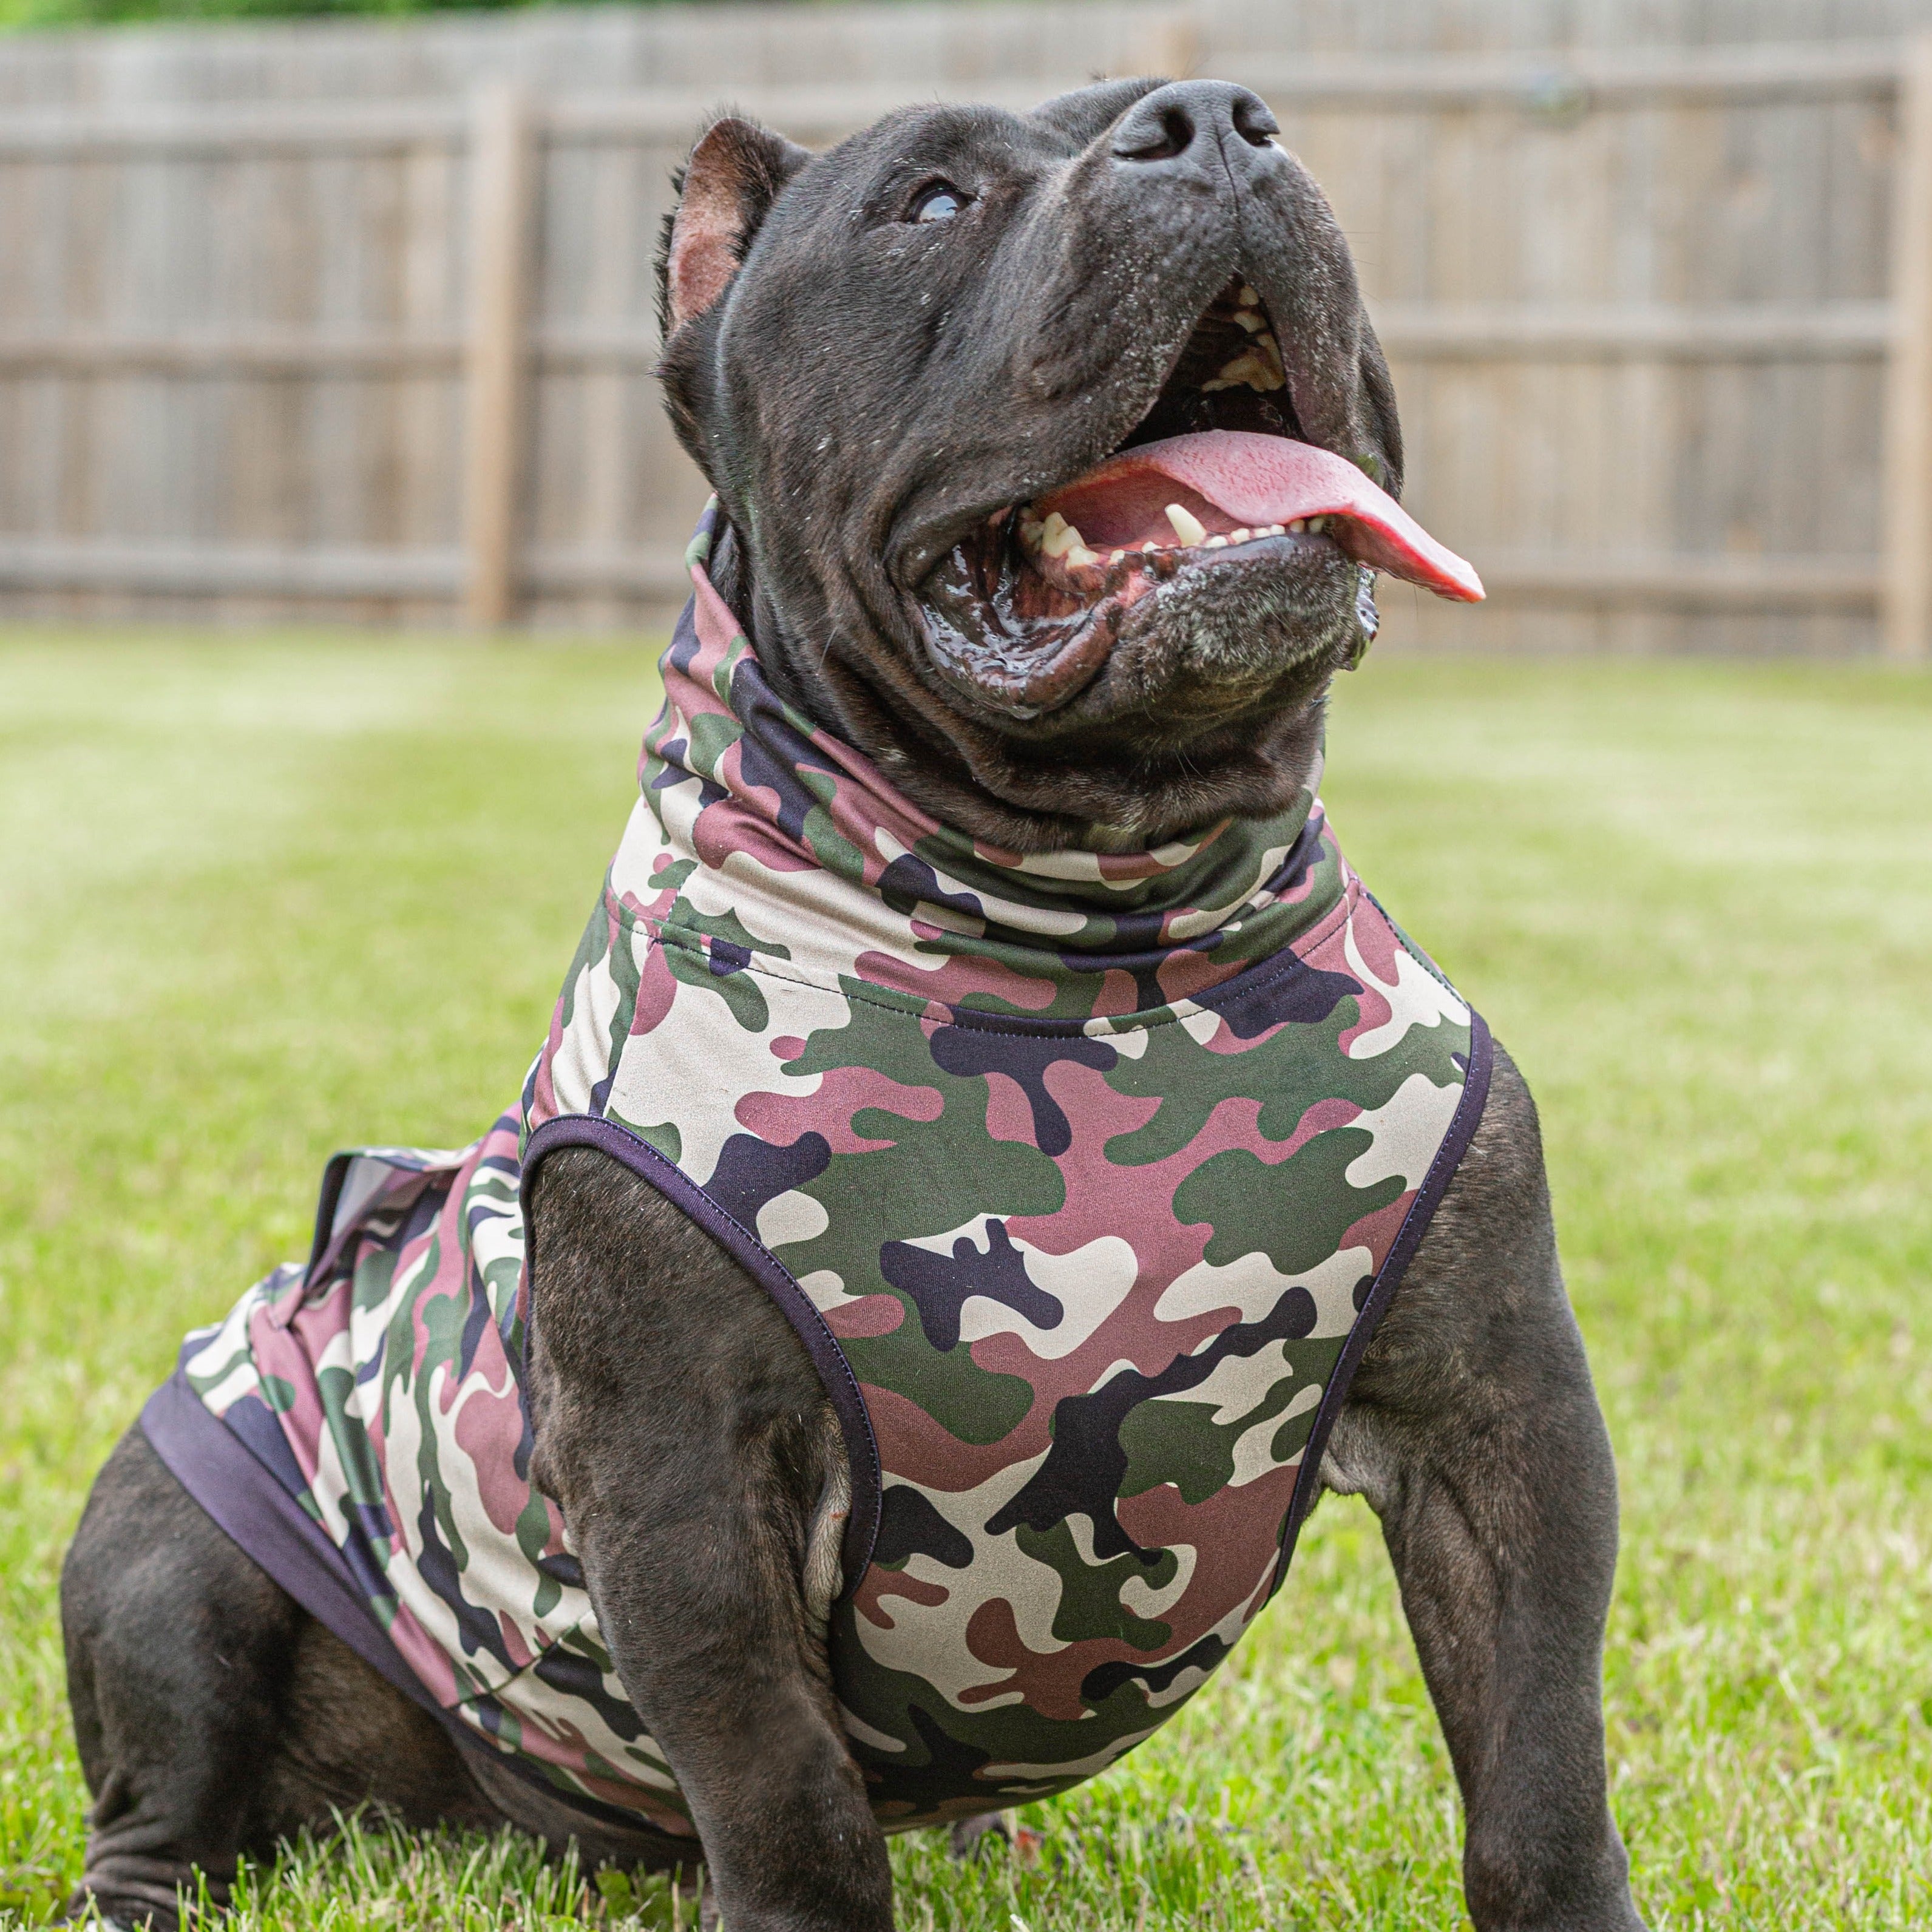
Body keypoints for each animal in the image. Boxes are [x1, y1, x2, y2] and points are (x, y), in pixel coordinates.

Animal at [68, 83, 1646, 1932]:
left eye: (1253, 119)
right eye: (931, 200)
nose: (1213, 122)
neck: (1099, 924)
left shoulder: (1504, 1421)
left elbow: (1536, 1766)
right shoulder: (687, 1488)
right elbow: (786, 1788)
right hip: (170, 1557)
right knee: (165, 1791)